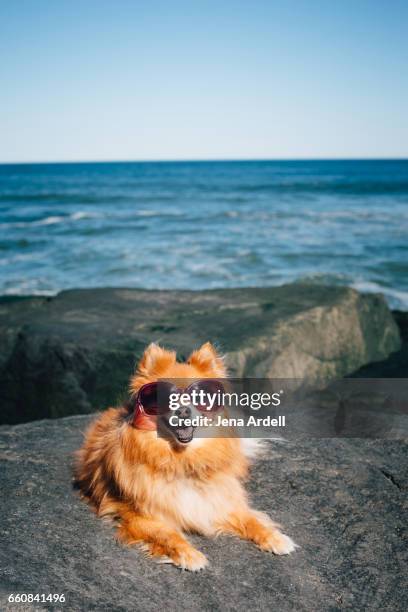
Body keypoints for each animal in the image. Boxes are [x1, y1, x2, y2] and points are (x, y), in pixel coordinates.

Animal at [74, 342, 296, 572]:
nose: (183, 411)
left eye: (200, 397)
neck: (182, 460)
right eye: (165, 399)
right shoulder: (137, 516)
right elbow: (166, 533)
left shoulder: (220, 501)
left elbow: (252, 520)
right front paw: (188, 554)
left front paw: (274, 537)